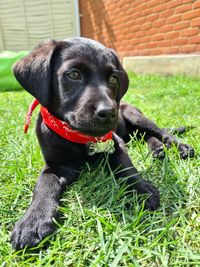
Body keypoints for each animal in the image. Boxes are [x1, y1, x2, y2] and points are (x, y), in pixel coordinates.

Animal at [10, 36, 194, 250]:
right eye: (74, 74)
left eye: (113, 79)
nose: (108, 112)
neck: (78, 135)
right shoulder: (55, 166)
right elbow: (43, 187)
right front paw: (33, 221)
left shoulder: (116, 144)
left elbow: (126, 168)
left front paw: (142, 190)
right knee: (146, 136)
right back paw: (156, 150)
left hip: (135, 116)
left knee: (162, 132)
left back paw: (181, 148)